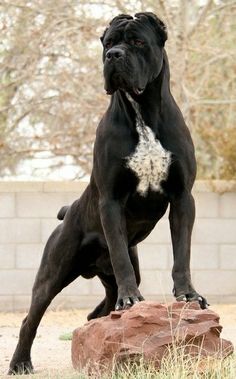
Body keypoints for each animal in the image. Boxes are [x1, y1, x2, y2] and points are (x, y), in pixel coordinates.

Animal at [9, 11, 207, 374]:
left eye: (137, 41)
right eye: (108, 43)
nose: (113, 56)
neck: (142, 112)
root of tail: (67, 212)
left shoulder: (182, 198)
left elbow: (182, 253)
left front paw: (188, 295)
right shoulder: (111, 201)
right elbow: (119, 254)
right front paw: (130, 299)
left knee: (97, 310)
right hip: (52, 273)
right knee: (31, 318)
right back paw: (20, 363)